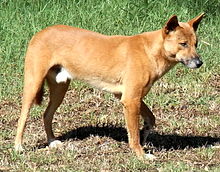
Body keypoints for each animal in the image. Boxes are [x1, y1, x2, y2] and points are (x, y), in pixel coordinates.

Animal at [14, 13, 205, 159]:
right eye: (183, 44)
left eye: (196, 44)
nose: (199, 63)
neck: (150, 51)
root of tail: (40, 32)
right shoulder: (130, 100)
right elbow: (133, 135)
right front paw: (141, 155)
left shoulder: (130, 97)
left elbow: (150, 119)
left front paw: (145, 135)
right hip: (33, 84)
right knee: (23, 117)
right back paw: (18, 147)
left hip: (59, 89)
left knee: (46, 115)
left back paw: (52, 141)